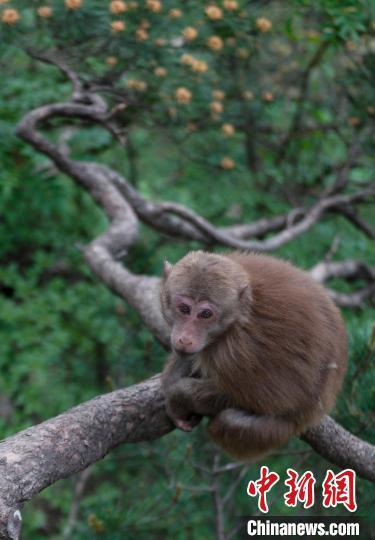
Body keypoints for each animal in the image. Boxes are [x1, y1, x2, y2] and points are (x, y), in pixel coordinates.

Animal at [160, 250, 348, 460]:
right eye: (184, 309)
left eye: (205, 314)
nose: (185, 339)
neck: (237, 317)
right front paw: (172, 380)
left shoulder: (234, 354)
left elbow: (267, 399)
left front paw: (178, 396)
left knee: (229, 421)